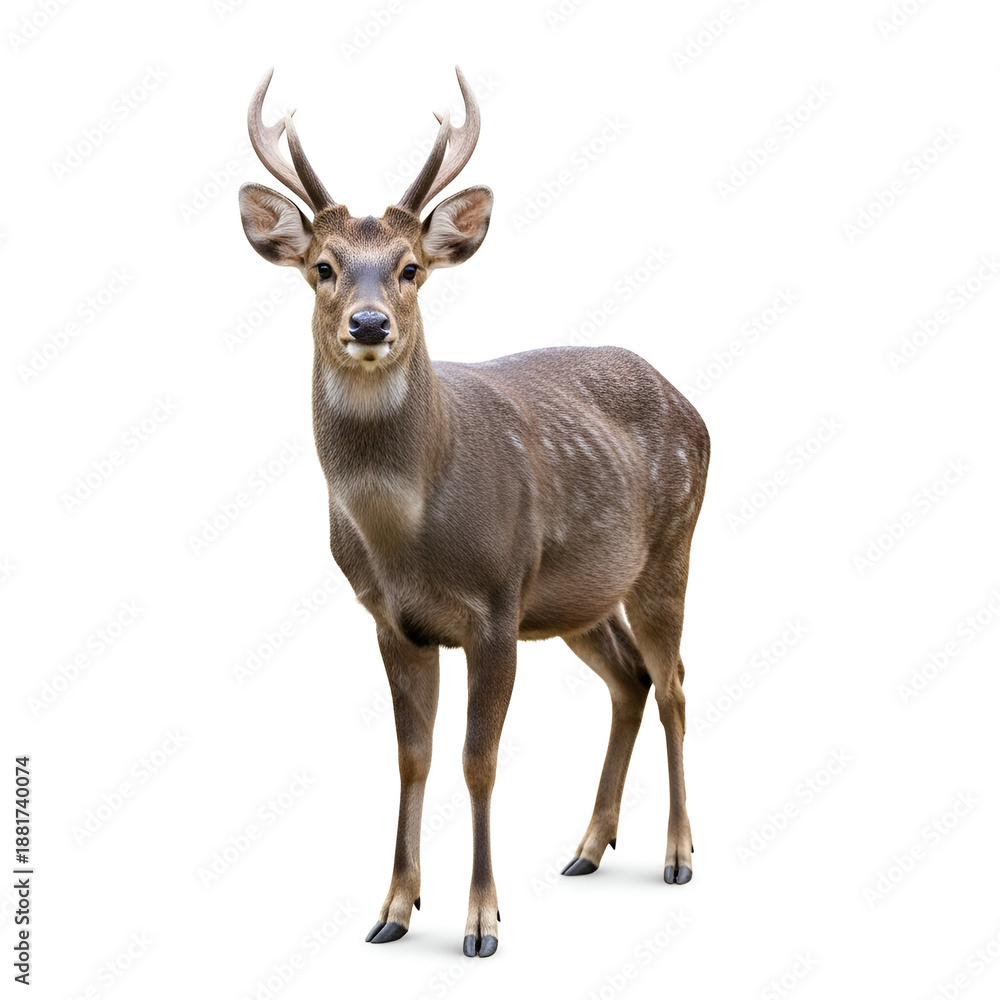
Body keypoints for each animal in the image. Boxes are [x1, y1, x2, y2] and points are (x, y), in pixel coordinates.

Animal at [237, 66, 709, 959]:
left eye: (411, 267)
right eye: (322, 266)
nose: (370, 323)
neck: (407, 538)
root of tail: (693, 407)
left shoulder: (494, 604)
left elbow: (476, 760)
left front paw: (482, 923)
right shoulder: (393, 620)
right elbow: (413, 758)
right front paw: (393, 909)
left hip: (668, 550)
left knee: (672, 682)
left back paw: (677, 854)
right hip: (573, 597)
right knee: (630, 679)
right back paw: (588, 847)